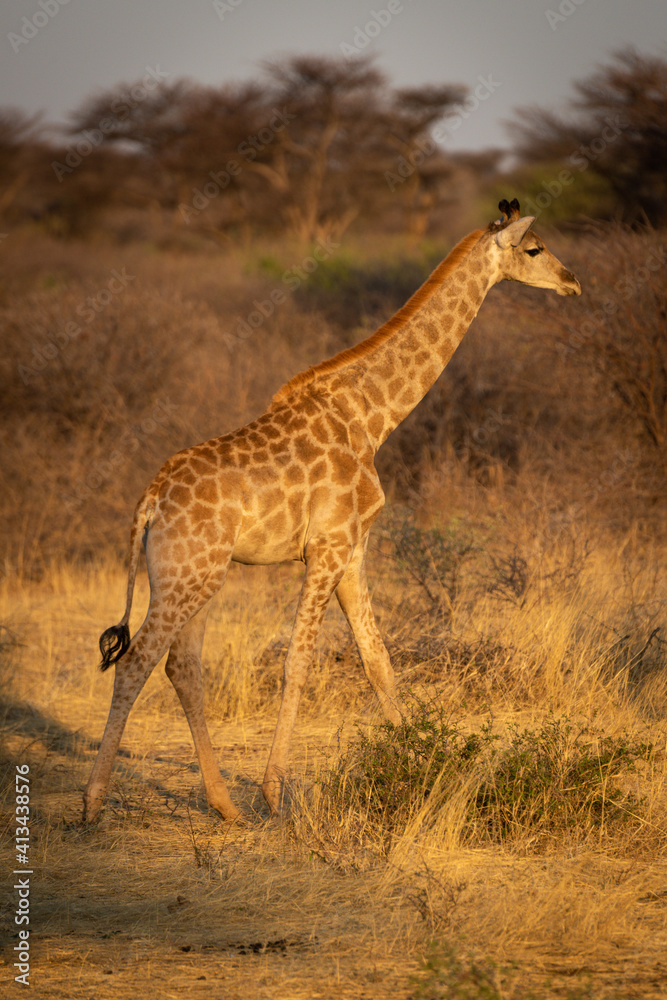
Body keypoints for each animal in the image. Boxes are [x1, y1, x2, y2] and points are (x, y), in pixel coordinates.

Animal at [83, 199, 580, 824]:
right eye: (534, 248)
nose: (573, 281)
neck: (372, 415)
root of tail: (149, 503)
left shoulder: (354, 550)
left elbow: (377, 660)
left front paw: (420, 767)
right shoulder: (327, 547)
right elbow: (299, 661)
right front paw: (274, 791)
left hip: (195, 577)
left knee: (182, 666)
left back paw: (225, 806)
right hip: (186, 576)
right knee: (137, 661)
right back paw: (93, 805)